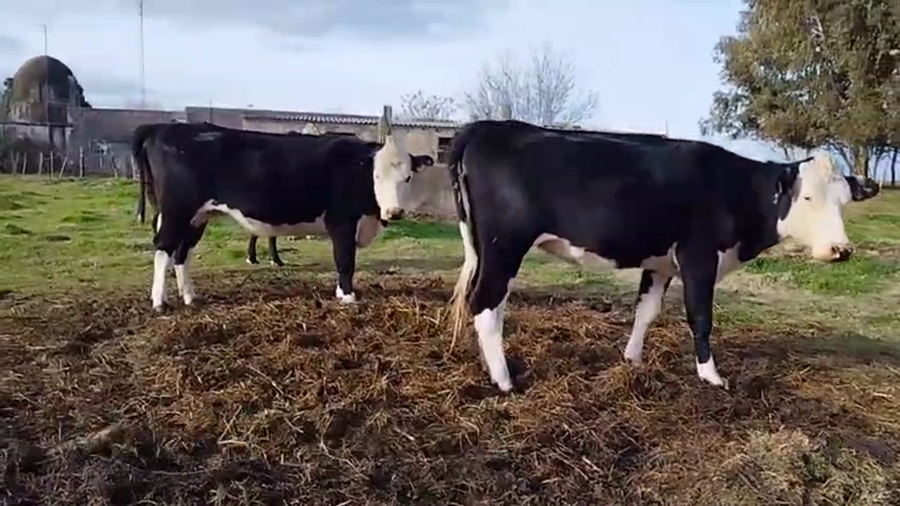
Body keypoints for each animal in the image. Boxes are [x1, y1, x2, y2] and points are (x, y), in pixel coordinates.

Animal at [132, 122, 435, 312]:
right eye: (376, 176)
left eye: (407, 177)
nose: (395, 212)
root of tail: (163, 127)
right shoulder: (341, 222)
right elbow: (345, 260)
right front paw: (347, 296)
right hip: (176, 209)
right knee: (163, 248)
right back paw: (159, 302)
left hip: (197, 216)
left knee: (181, 252)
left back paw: (190, 297)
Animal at [426, 119, 879, 392]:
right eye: (807, 198)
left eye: (843, 202)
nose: (841, 250)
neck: (734, 189)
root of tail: (489, 126)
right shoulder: (699, 258)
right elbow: (701, 317)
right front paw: (711, 376)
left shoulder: (661, 264)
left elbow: (646, 311)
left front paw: (633, 360)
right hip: (505, 245)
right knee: (486, 304)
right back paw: (505, 382)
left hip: (489, 249)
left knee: (489, 304)